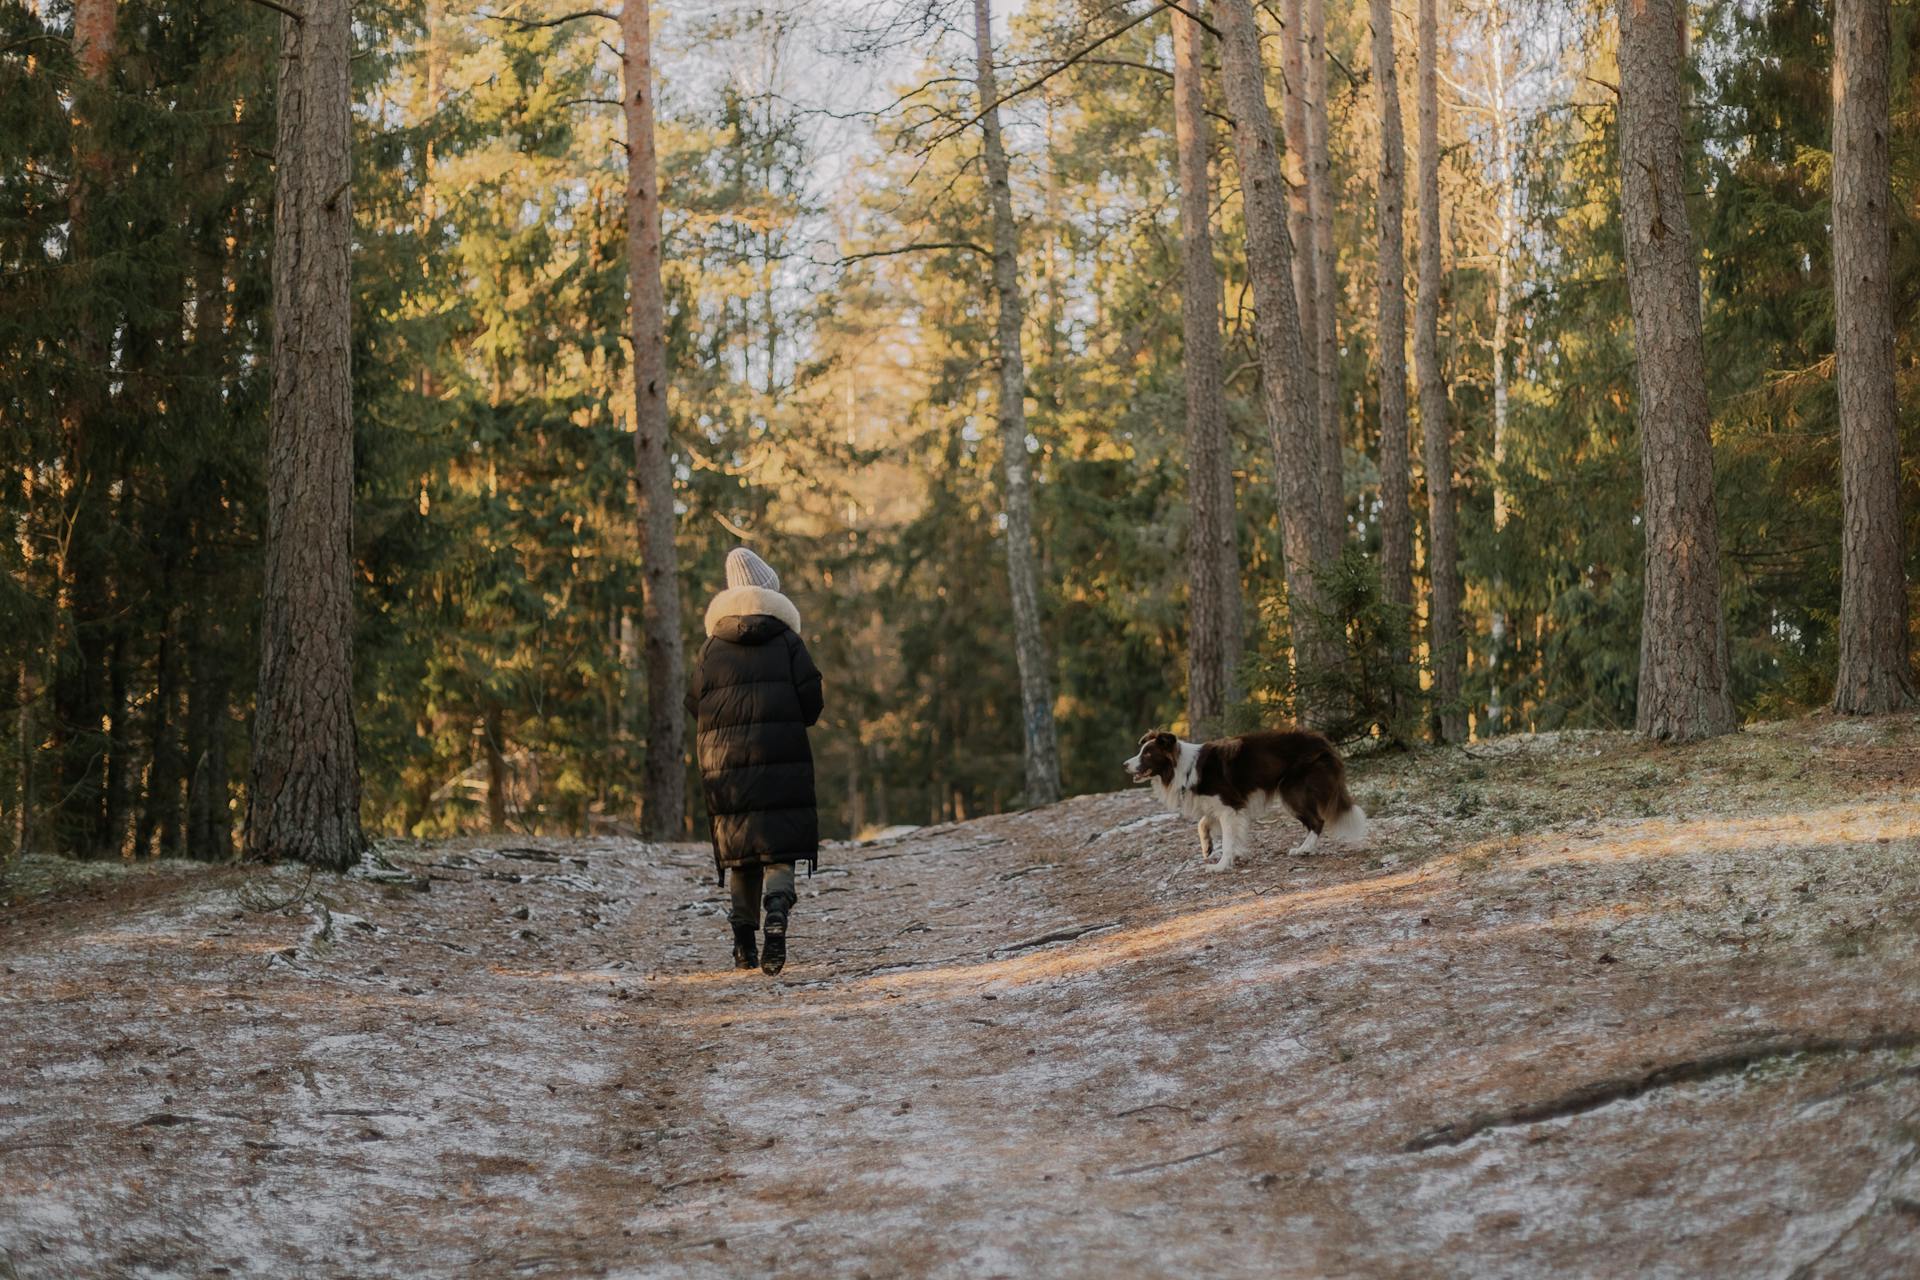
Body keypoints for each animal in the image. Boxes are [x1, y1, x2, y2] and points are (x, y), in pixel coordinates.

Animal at [1121, 729, 1374, 871]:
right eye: (1141, 750)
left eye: (1147, 753)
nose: (1124, 764)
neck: (1184, 768)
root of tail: (1324, 742)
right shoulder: (1221, 805)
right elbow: (1204, 823)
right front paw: (1209, 847)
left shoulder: (1229, 805)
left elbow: (1227, 838)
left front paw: (1222, 865)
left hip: (1292, 792)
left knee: (1317, 821)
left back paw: (1304, 849)